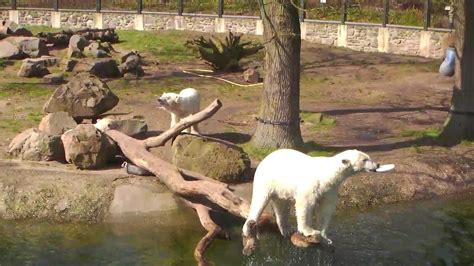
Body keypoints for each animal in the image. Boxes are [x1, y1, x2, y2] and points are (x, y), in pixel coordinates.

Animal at [243, 150, 380, 251]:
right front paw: (309, 231)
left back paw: (286, 230)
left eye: (368, 157)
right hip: (267, 179)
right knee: (260, 200)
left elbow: (326, 209)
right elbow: (305, 204)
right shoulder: (312, 184)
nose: (377, 165)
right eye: (365, 159)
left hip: (281, 187)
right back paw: (248, 229)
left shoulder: (330, 189)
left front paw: (325, 236)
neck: (327, 174)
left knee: (282, 205)